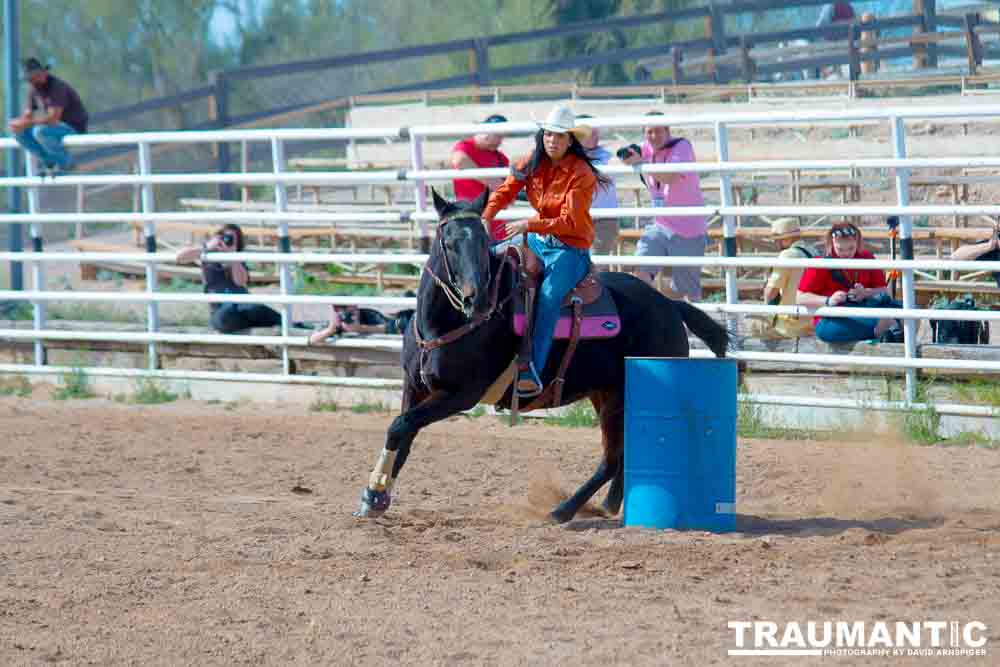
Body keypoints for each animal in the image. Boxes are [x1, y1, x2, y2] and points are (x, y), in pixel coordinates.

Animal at [356, 190, 732, 524]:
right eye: (448, 242)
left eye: (482, 242)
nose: (478, 300)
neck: (442, 324)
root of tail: (669, 305)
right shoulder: (414, 386)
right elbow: (403, 436)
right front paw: (375, 497)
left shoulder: (461, 394)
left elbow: (400, 426)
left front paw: (373, 493)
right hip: (606, 394)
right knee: (621, 455)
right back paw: (607, 504)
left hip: (622, 398)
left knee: (614, 457)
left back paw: (564, 510)